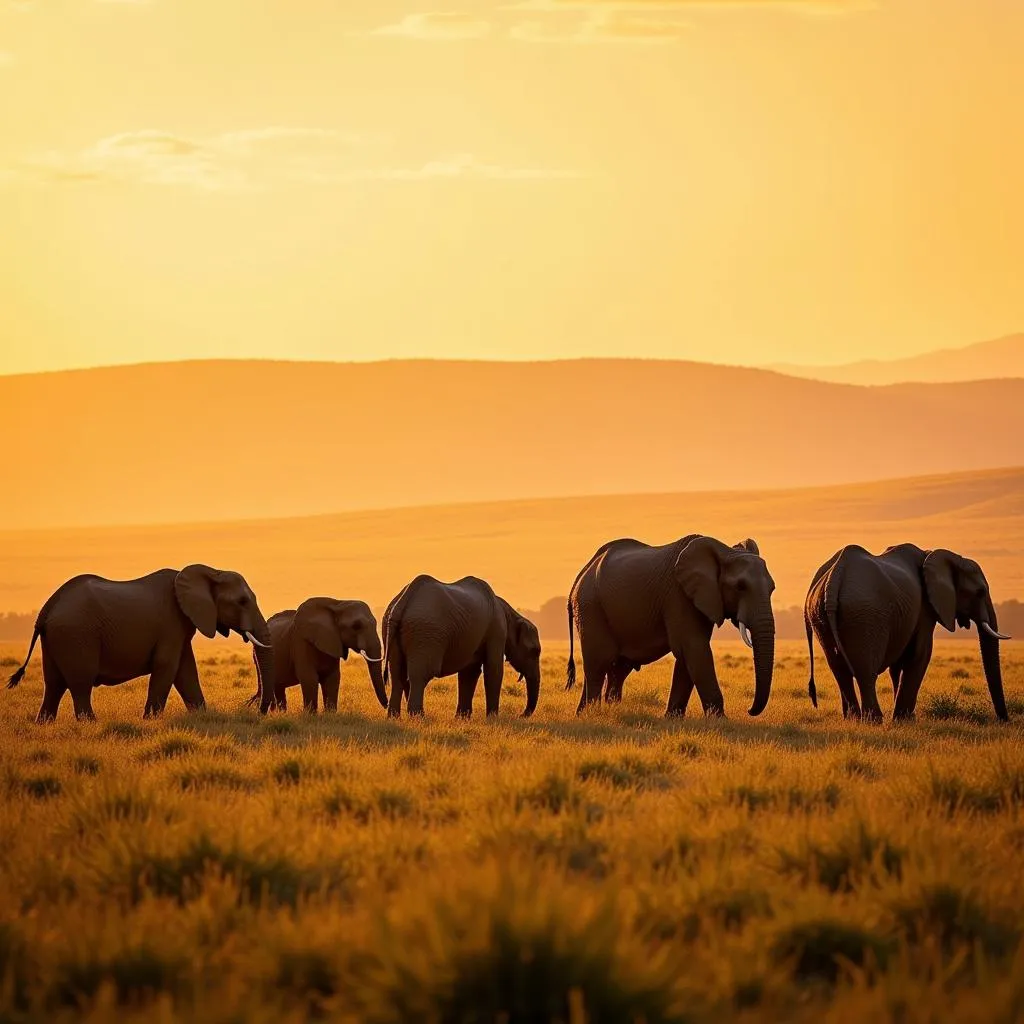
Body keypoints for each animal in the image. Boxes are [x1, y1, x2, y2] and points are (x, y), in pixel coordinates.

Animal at [4, 565, 276, 724]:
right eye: (242, 601)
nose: (256, 709)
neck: (211, 571)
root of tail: (46, 610)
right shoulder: (171, 623)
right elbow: (167, 667)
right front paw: (151, 722)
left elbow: (186, 671)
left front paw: (203, 716)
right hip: (76, 635)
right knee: (80, 683)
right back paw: (91, 724)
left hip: (58, 639)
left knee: (54, 684)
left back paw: (44, 725)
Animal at [256, 598, 387, 716]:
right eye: (356, 626)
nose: (386, 706)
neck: (338, 604)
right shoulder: (301, 642)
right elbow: (309, 677)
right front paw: (310, 715)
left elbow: (332, 678)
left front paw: (330, 715)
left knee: (279, 687)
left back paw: (280, 713)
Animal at [385, 573, 544, 716]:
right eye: (534, 651)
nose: (521, 715)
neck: (509, 613)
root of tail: (404, 598)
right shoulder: (497, 631)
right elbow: (493, 669)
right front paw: (493, 718)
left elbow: (470, 672)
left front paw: (462, 718)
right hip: (425, 632)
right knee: (420, 675)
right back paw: (418, 717)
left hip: (393, 628)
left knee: (397, 675)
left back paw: (394, 717)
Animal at [565, 536, 770, 720]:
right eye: (740, 586)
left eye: (772, 588)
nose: (749, 711)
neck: (724, 551)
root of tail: (582, 572)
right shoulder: (679, 596)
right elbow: (694, 648)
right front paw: (720, 721)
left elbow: (688, 655)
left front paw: (672, 719)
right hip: (590, 607)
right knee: (599, 663)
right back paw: (591, 715)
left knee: (617, 669)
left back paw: (596, 712)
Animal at [802, 540, 1011, 724]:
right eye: (980, 592)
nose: (1004, 720)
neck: (933, 554)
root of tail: (836, 575)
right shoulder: (925, 609)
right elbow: (919, 656)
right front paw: (905, 720)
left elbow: (898, 664)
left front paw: (902, 718)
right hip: (863, 614)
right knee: (865, 671)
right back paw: (874, 721)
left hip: (820, 615)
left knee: (840, 670)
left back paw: (853, 719)